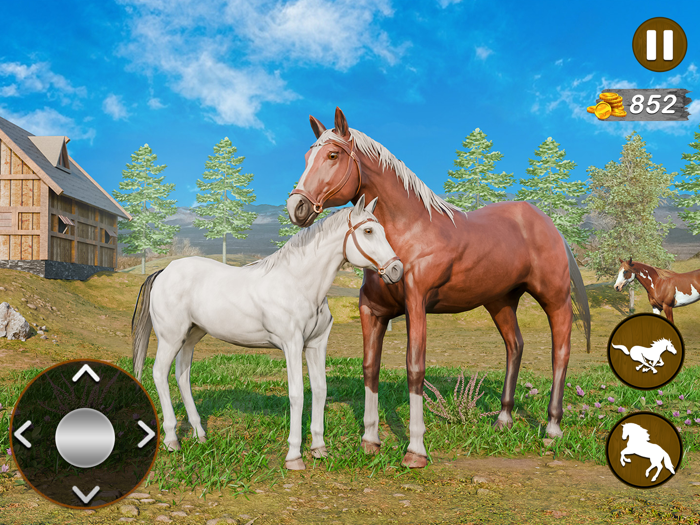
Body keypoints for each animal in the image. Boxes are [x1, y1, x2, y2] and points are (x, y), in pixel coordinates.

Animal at [131, 195, 403, 470]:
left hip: (191, 337)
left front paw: (319, 448)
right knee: (160, 374)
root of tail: (163, 273)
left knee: (182, 376)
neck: (299, 283)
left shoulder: (316, 345)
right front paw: (294, 456)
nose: (397, 270)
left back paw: (200, 435)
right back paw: (172, 440)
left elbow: (320, 390)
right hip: (171, 338)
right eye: (368, 231)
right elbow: (297, 394)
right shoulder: (292, 345)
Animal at [286, 107, 591, 468]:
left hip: (554, 298)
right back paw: (503, 419)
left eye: (332, 155)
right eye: (308, 156)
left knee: (561, 351)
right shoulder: (373, 310)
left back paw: (553, 427)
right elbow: (370, 368)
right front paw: (370, 440)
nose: (297, 208)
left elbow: (415, 368)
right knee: (514, 346)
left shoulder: (416, 305)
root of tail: (547, 224)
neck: (408, 231)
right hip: (500, 302)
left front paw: (415, 450)